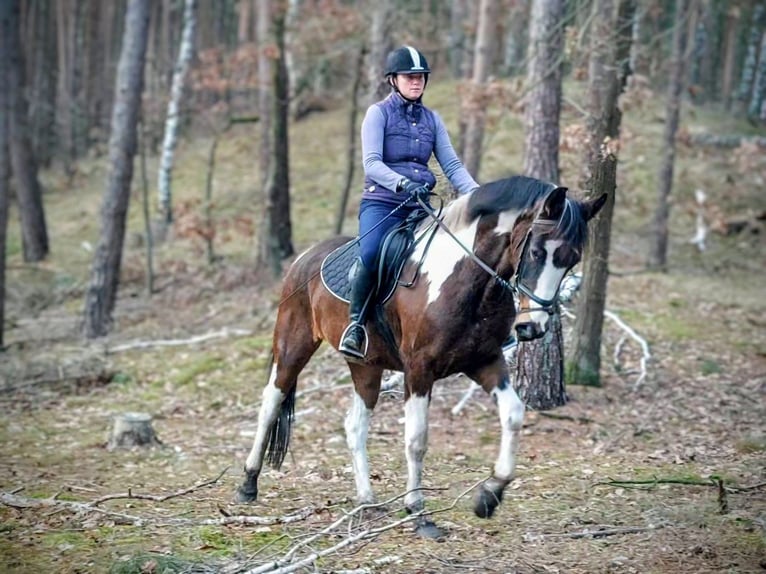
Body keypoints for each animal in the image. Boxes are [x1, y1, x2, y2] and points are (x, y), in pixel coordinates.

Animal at [237, 175, 606, 536]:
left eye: (572, 259)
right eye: (536, 251)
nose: (533, 327)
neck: (467, 281)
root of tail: (305, 257)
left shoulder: (484, 361)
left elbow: (513, 414)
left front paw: (489, 495)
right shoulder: (419, 370)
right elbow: (416, 439)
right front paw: (418, 512)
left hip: (366, 366)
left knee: (354, 425)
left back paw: (367, 502)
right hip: (293, 344)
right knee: (271, 402)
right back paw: (248, 484)